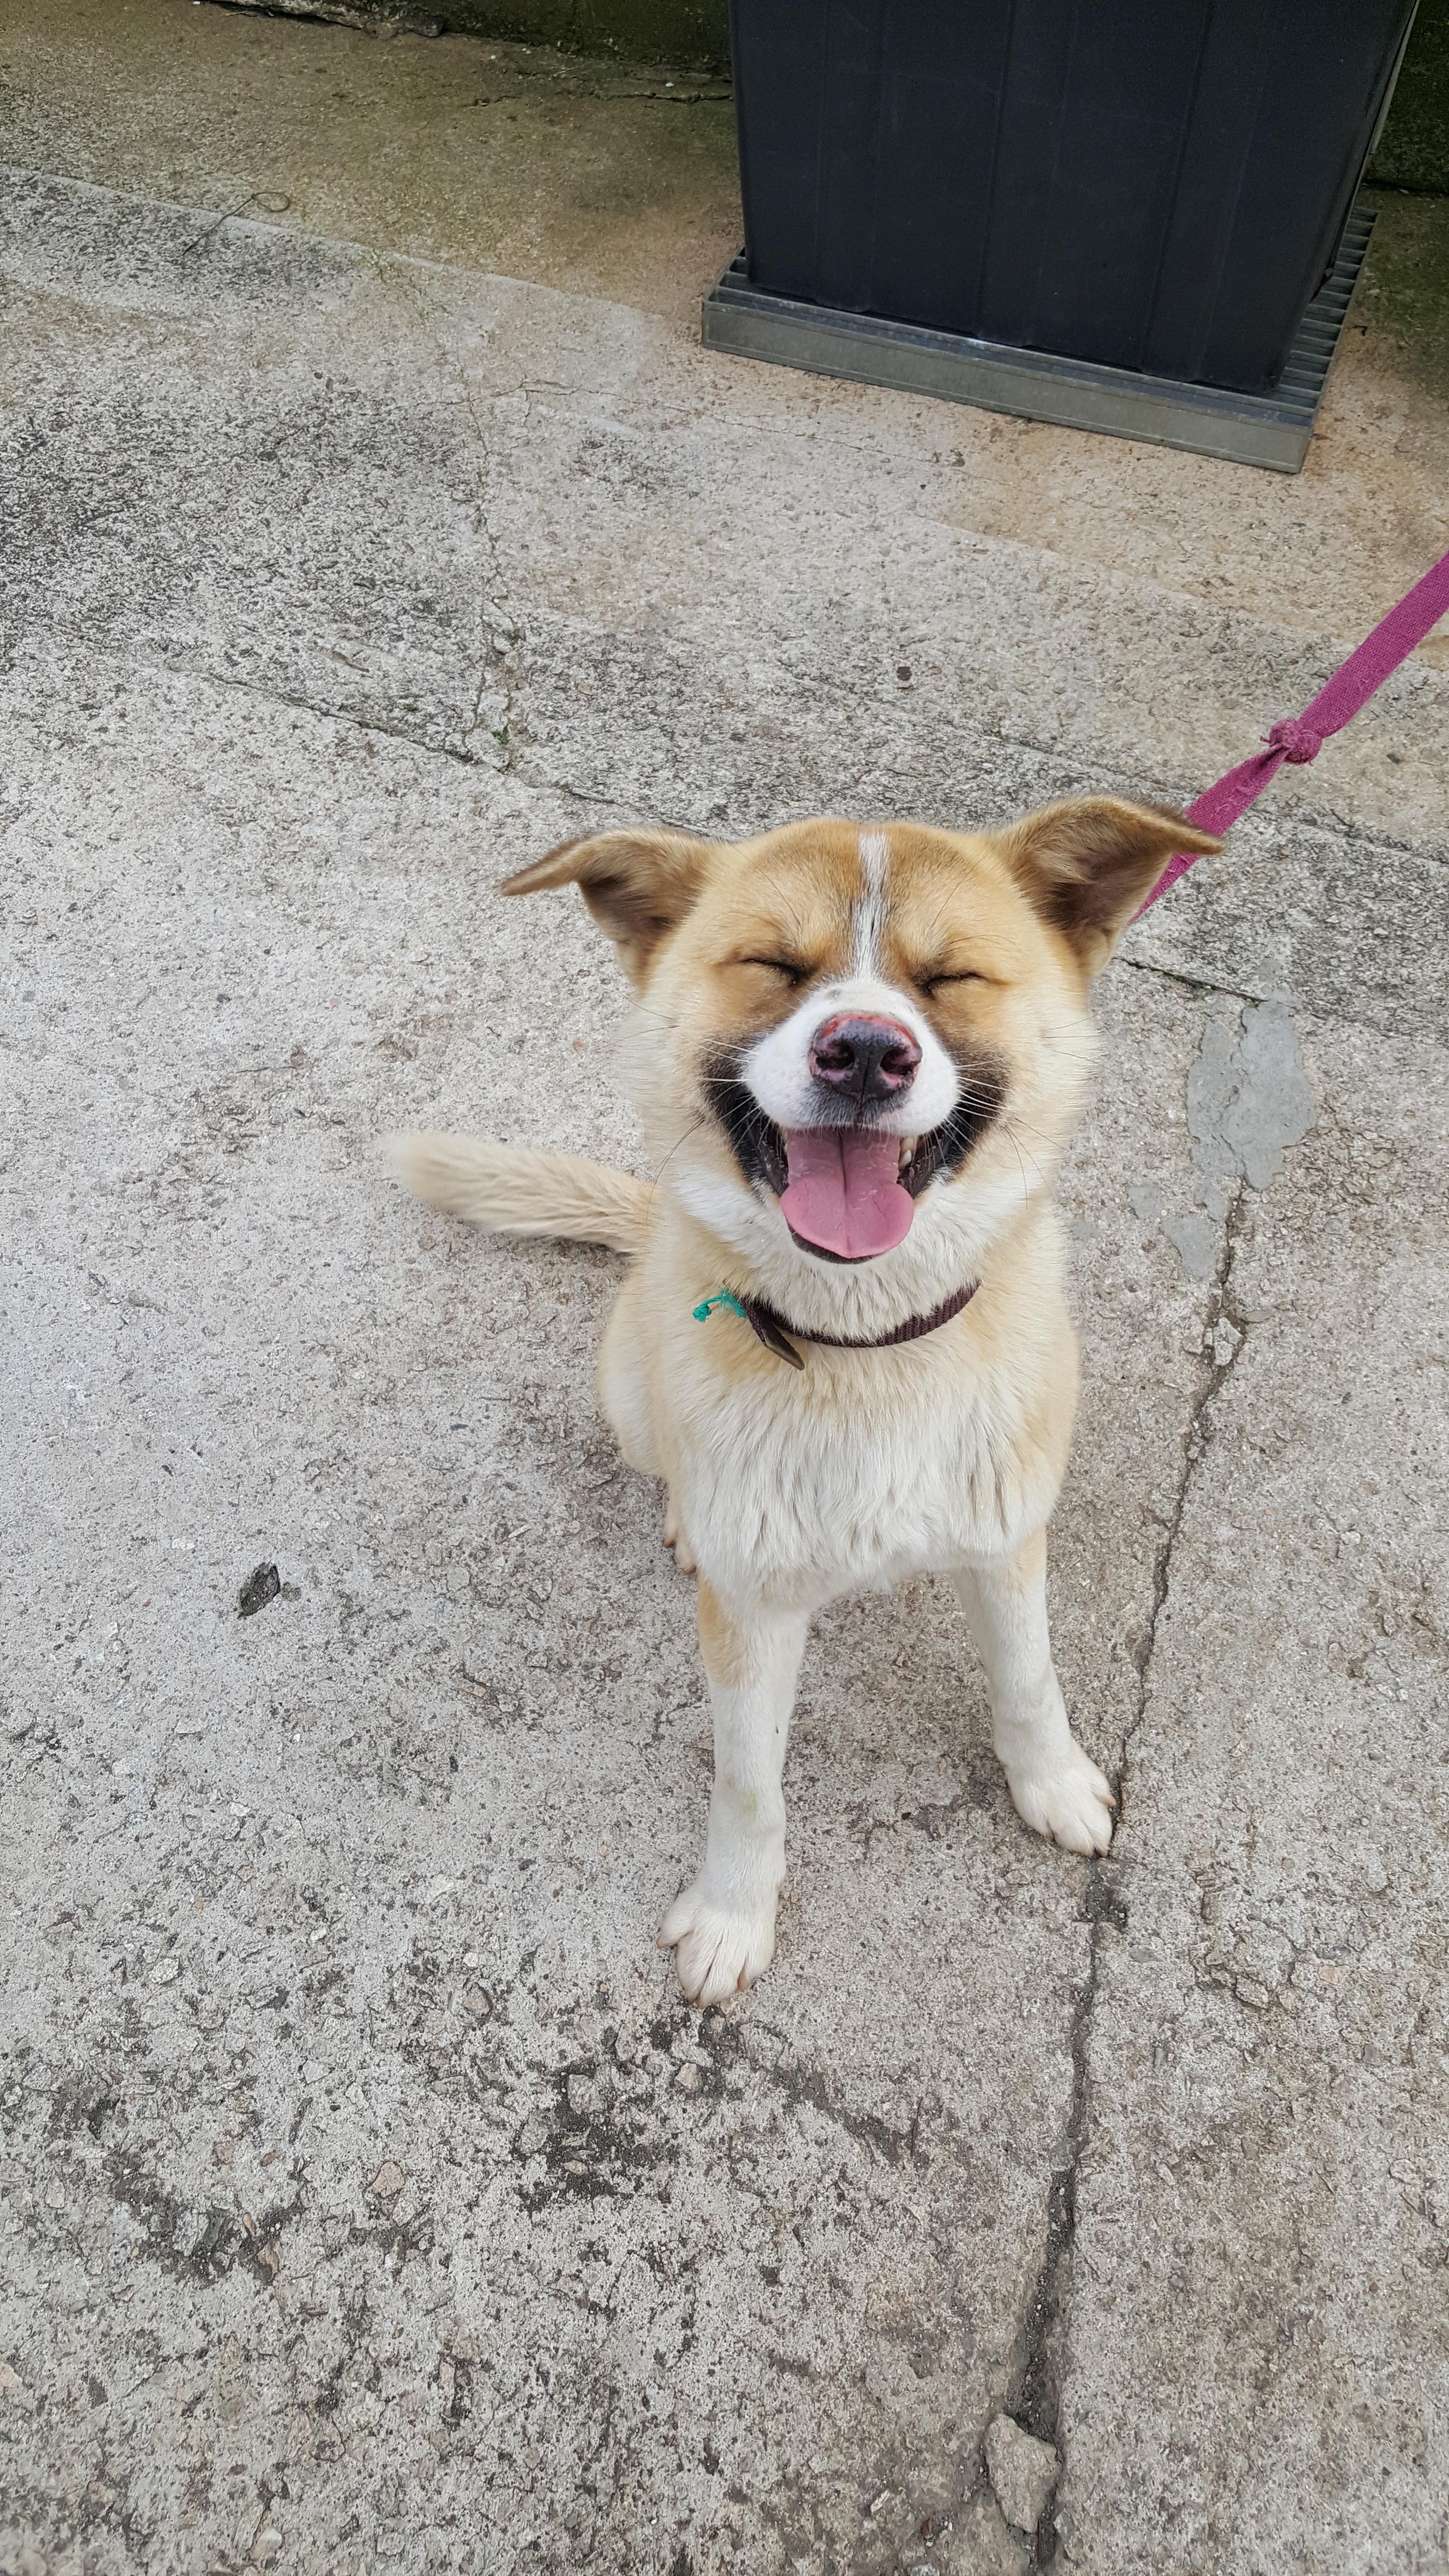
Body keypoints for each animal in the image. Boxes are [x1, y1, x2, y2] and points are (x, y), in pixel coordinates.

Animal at [386, 796, 1219, 2005]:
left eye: (953, 977)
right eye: (773, 965)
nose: (866, 1051)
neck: (868, 1345)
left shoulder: (1008, 1536)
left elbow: (1030, 1679)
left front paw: (1053, 1784)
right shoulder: (753, 1616)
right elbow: (748, 1784)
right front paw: (735, 1914)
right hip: (627, 1390)